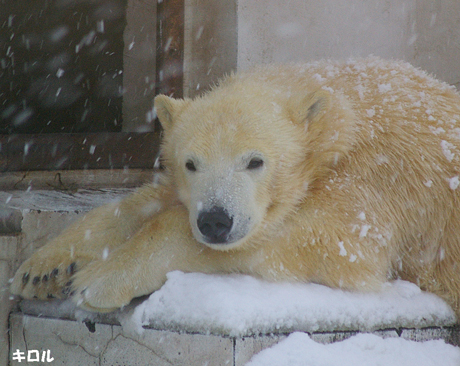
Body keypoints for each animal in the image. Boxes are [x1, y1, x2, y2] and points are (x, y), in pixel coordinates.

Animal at [9, 57, 460, 314]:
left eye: (255, 161)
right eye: (191, 163)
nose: (215, 221)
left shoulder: (379, 178)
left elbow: (323, 237)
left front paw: (96, 280)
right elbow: (150, 200)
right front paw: (43, 269)